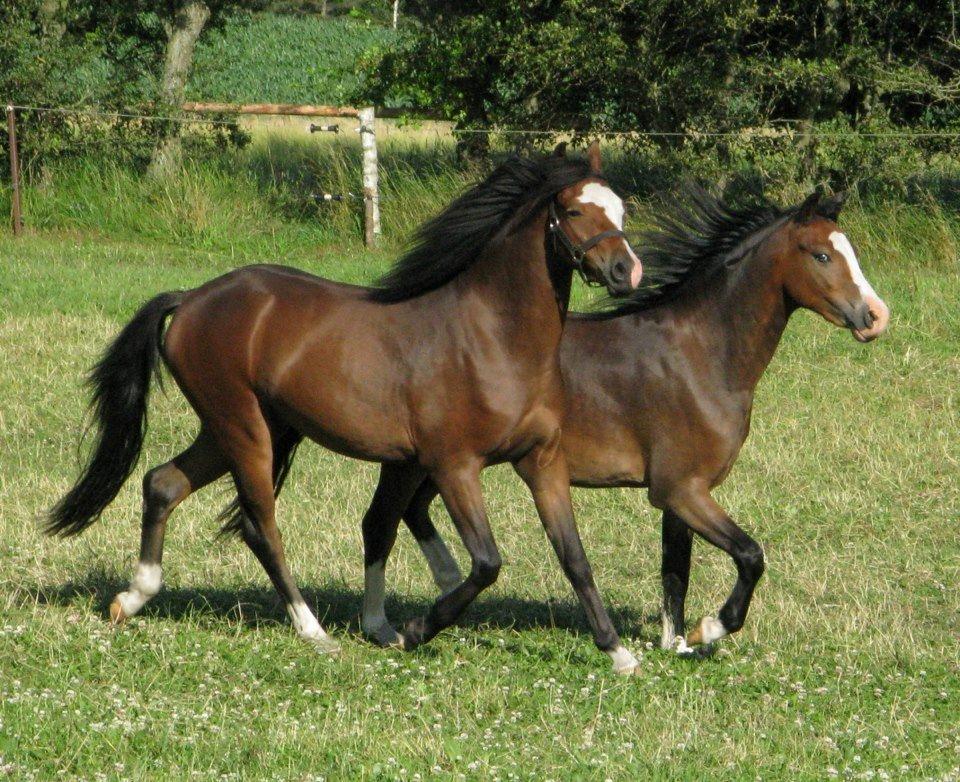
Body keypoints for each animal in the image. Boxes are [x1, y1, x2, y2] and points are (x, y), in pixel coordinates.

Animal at [45, 144, 652, 676]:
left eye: (622, 208)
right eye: (573, 210)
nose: (626, 272)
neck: (493, 338)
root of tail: (191, 298)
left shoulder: (540, 461)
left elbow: (573, 557)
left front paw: (618, 653)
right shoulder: (455, 465)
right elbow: (485, 563)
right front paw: (416, 630)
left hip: (231, 430)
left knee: (163, 483)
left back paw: (132, 598)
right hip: (244, 429)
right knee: (260, 525)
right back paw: (313, 630)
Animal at [364, 185, 888, 656]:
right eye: (821, 255)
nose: (876, 316)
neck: (701, 356)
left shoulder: (683, 495)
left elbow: (676, 571)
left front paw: (675, 644)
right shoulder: (680, 489)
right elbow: (749, 556)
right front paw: (709, 629)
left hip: (441, 464)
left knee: (408, 515)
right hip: (429, 461)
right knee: (385, 521)